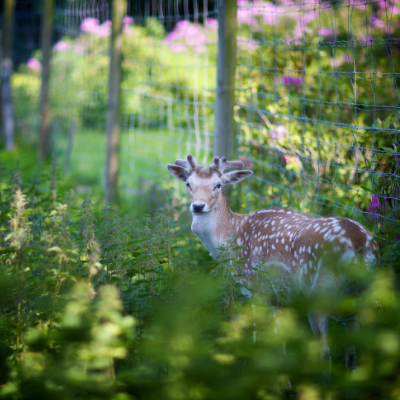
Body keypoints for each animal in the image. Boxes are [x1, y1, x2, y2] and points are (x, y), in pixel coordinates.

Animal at [166, 153, 378, 368]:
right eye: (188, 183)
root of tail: (358, 243)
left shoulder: (255, 287)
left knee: (325, 353)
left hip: (319, 291)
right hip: (358, 296)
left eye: (218, 184)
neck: (232, 236)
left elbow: (257, 333)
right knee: (354, 353)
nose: (198, 206)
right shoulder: (279, 298)